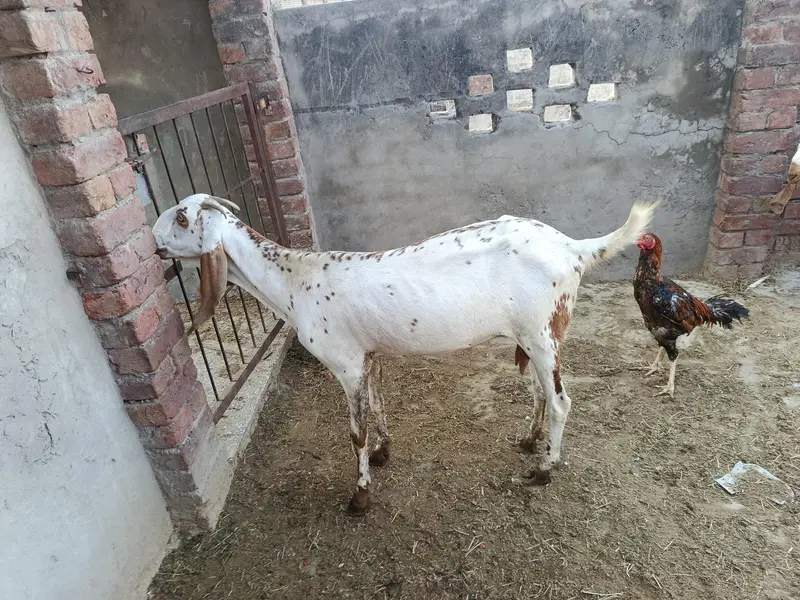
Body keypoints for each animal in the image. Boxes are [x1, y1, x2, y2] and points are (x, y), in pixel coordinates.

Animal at [152, 194, 657, 515]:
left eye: (182, 218)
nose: (153, 240)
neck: (296, 282)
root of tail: (573, 247)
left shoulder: (344, 363)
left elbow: (353, 433)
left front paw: (359, 496)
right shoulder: (368, 357)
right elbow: (378, 406)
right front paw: (384, 451)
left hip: (543, 331)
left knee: (560, 401)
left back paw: (544, 469)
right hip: (531, 337)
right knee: (539, 392)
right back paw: (530, 442)